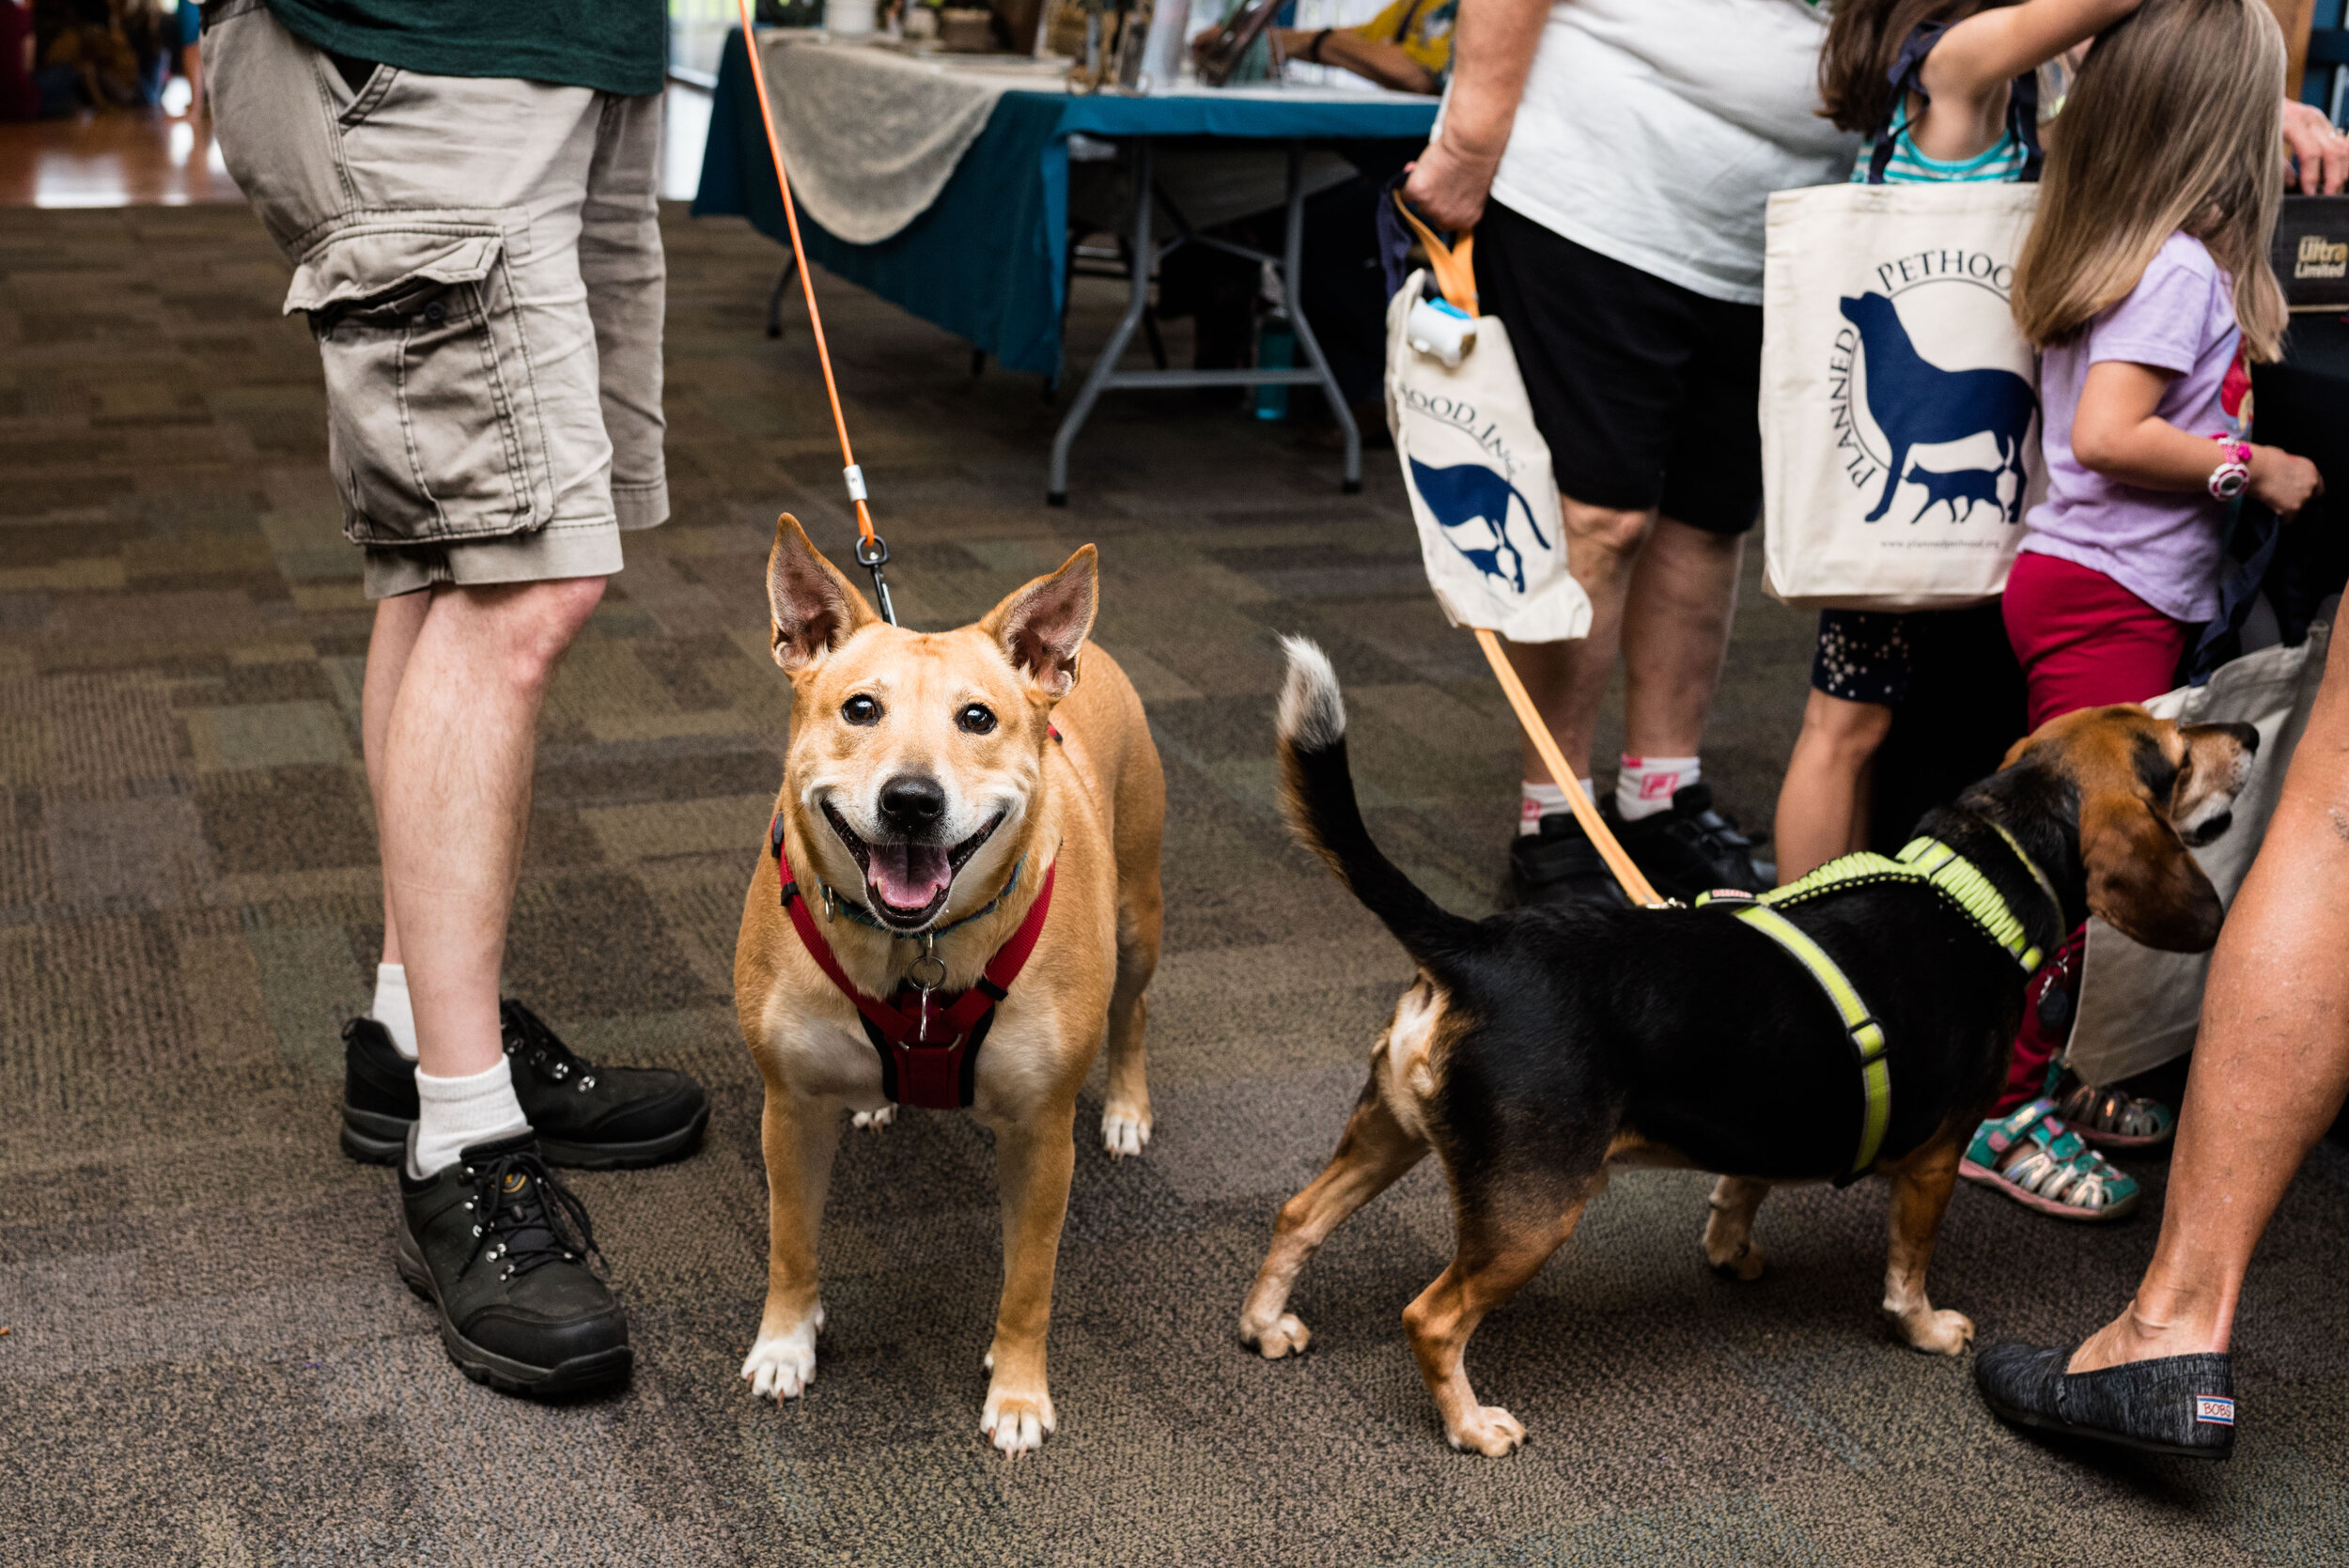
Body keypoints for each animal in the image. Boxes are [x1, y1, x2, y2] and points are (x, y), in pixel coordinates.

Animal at [728, 516, 1160, 1455]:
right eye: (860, 708)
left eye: (978, 718)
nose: (913, 801)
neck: (914, 951)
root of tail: (1085, 653)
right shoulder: (789, 1106)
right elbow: (791, 1244)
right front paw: (784, 1343)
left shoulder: (1041, 1135)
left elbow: (1028, 1282)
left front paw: (1019, 1391)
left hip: (1139, 916)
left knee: (1134, 1008)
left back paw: (1128, 1107)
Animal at [1250, 638, 2255, 1455]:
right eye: (2175, 757)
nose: (2247, 730)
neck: (1972, 883)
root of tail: (1473, 945)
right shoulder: (1935, 1160)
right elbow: (1908, 1269)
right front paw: (1925, 1328)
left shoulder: (1768, 1112)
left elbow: (1742, 1186)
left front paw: (1730, 1250)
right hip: (1533, 1208)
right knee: (1431, 1317)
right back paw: (1471, 1425)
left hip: (1389, 1133)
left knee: (1297, 1215)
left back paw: (1267, 1326)